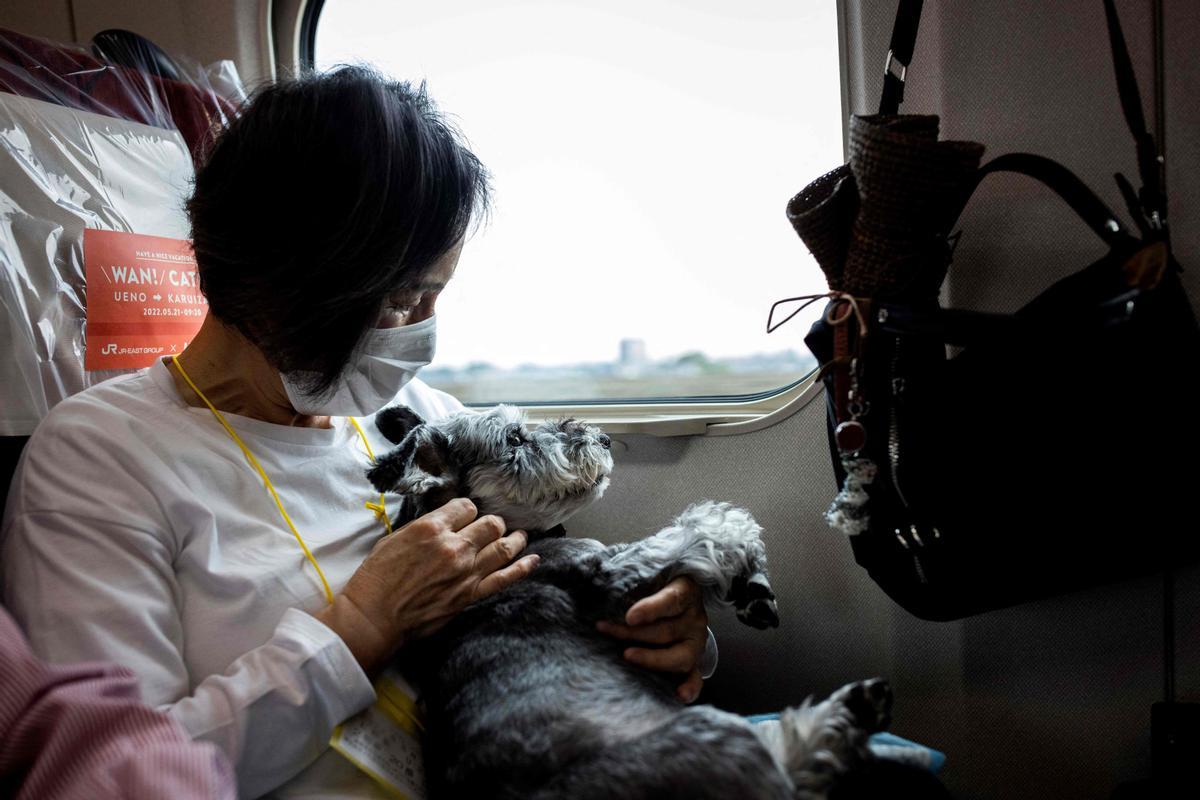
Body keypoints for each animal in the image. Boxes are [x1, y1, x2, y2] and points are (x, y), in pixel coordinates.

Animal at [369, 407, 897, 800]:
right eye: (514, 438)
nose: (603, 438)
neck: (519, 538)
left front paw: (752, 585)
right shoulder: (612, 580)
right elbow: (695, 526)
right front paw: (745, 557)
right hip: (713, 733)